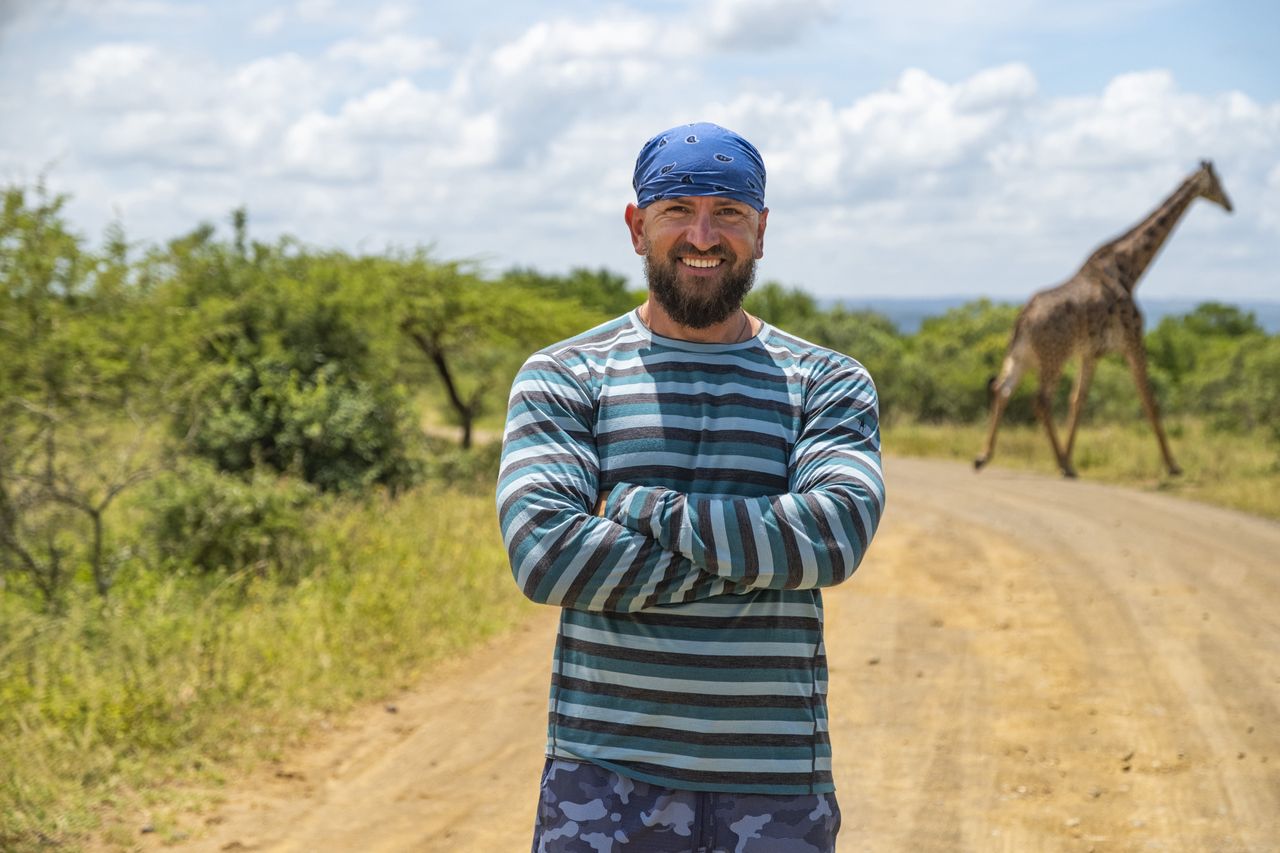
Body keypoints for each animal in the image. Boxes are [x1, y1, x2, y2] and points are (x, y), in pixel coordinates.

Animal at [972, 161, 1233, 479]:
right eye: (1218, 183)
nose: (1230, 205)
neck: (1129, 270)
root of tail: (1023, 318)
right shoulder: (1133, 340)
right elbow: (1150, 400)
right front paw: (1173, 466)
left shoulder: (1091, 353)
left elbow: (1077, 401)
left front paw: (1071, 455)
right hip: (1053, 355)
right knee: (1041, 399)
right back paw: (1062, 464)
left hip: (1022, 355)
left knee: (1002, 389)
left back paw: (985, 456)